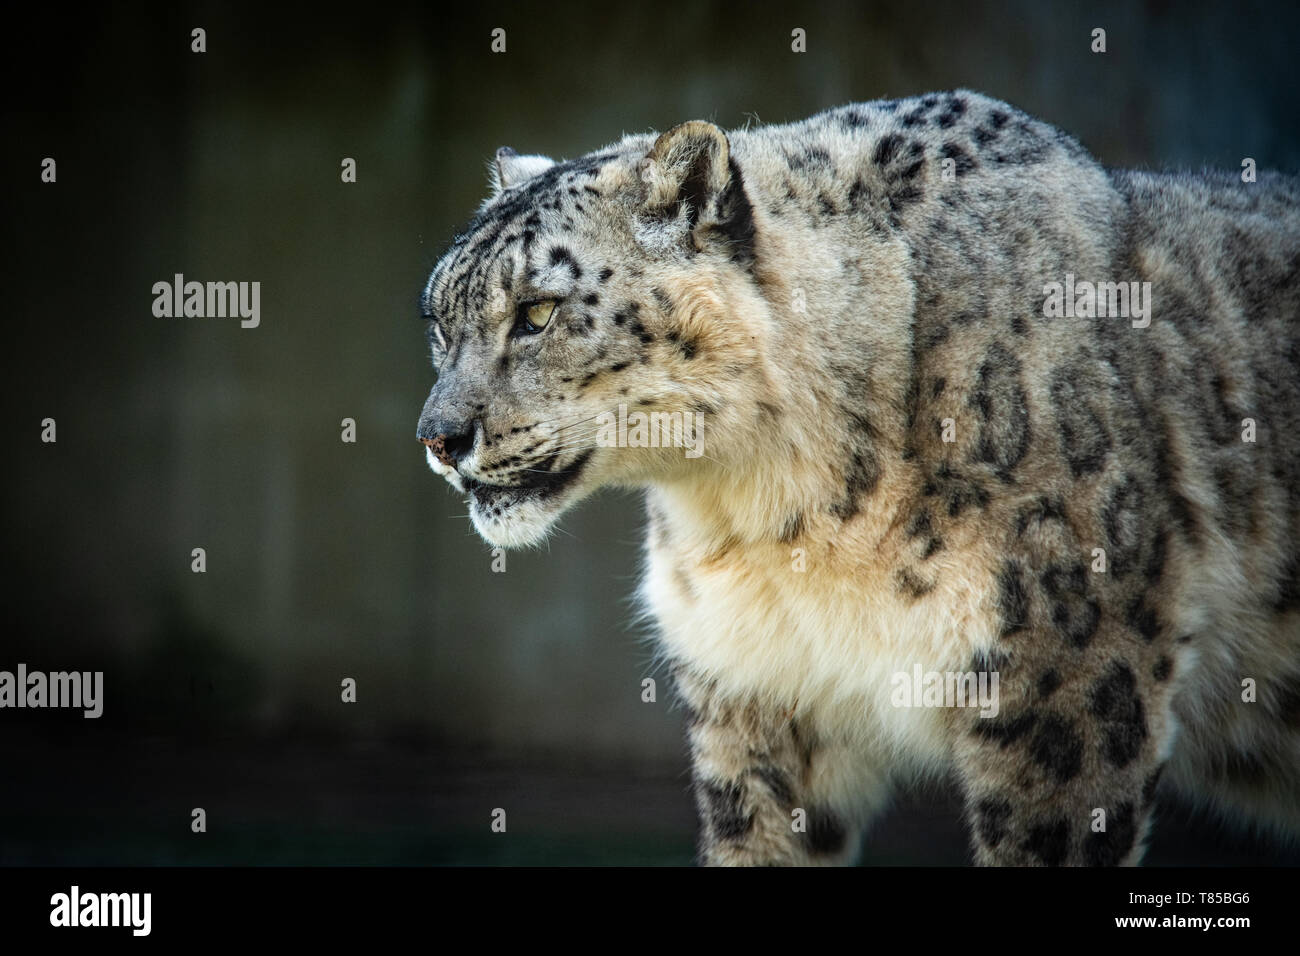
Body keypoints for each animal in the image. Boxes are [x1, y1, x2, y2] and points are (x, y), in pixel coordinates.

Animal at [416, 90, 1300, 865]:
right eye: (439, 323)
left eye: (537, 312)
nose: (438, 438)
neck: (771, 513)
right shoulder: (757, 697)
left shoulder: (1067, 682)